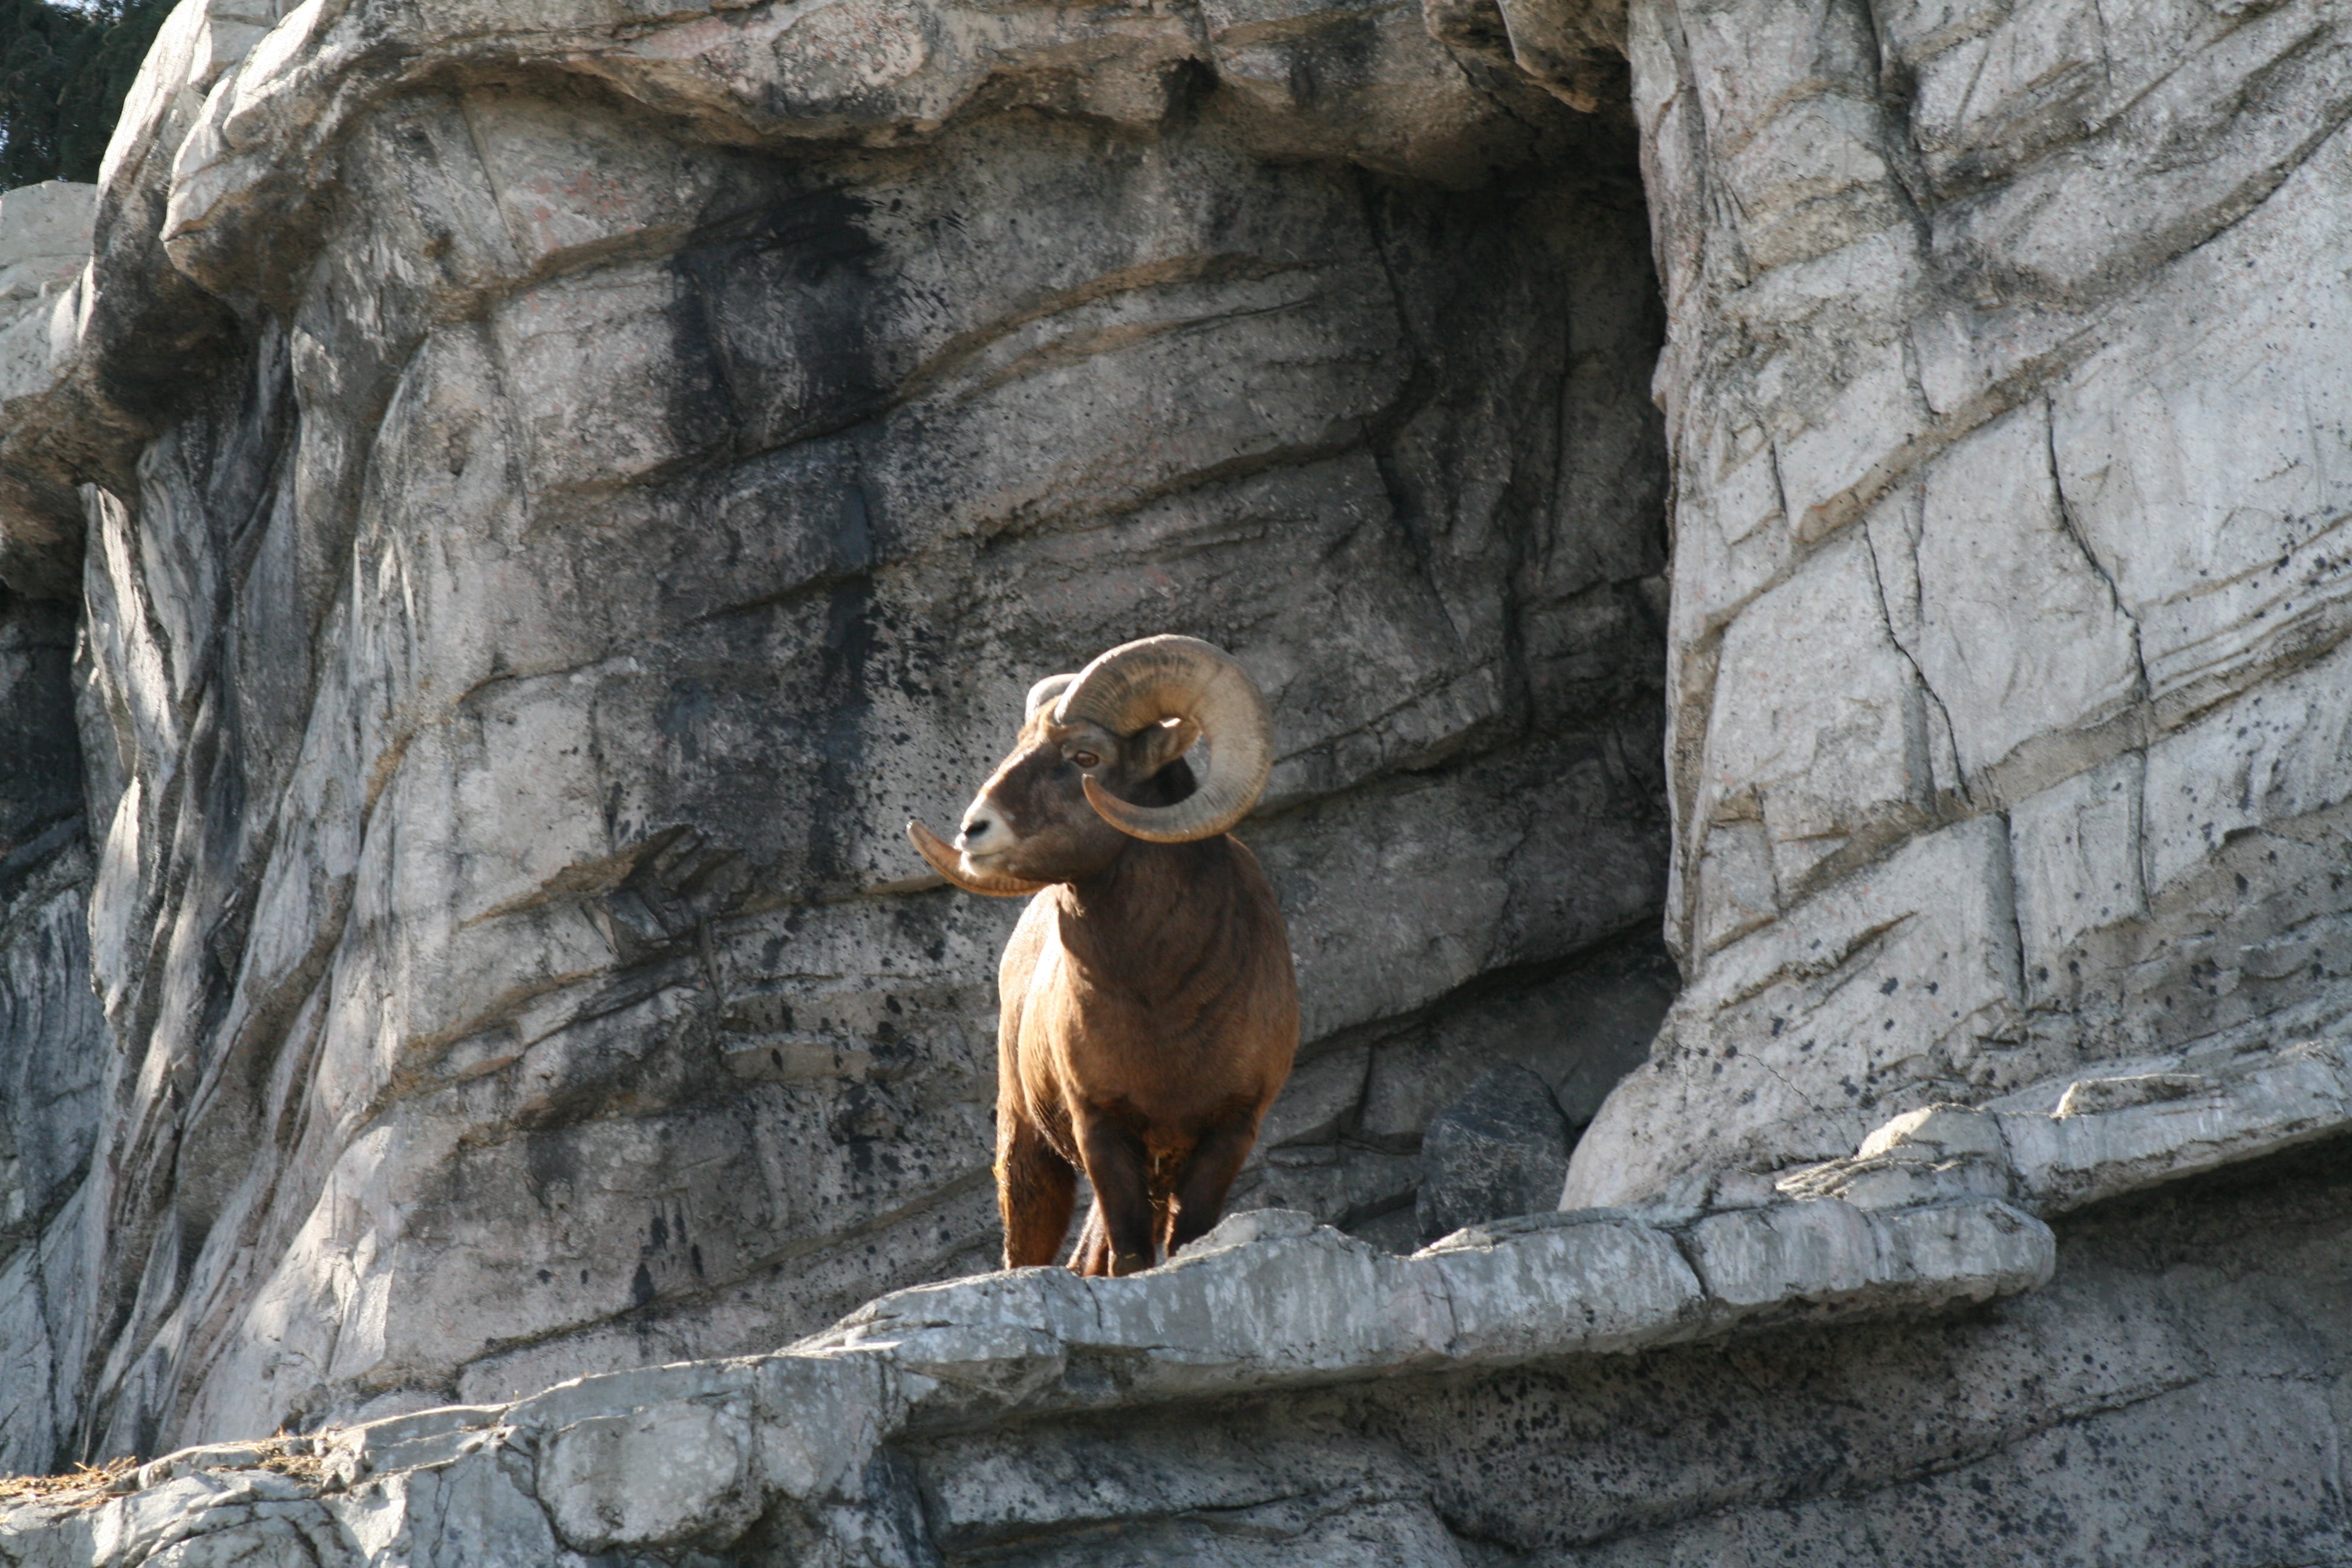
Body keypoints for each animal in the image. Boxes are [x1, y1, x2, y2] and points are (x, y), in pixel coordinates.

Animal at [908, 635, 1299, 1276]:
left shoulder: (1229, 1132)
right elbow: (1131, 1256)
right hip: (1028, 1151)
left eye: (1085, 758)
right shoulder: (1102, 1131)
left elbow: (1185, 1240)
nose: (974, 831)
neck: (1165, 1007)